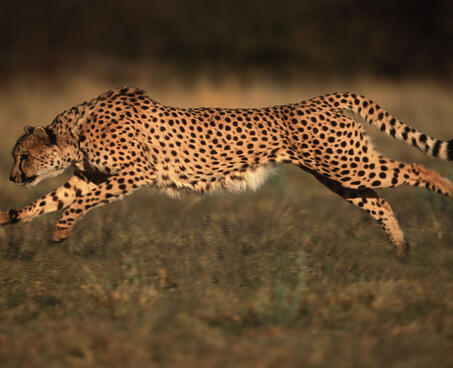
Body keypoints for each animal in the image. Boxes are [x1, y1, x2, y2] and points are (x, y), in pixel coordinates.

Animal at [0, 87, 452, 254]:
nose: (12, 178)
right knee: (379, 203)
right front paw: (10, 216)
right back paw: (400, 247)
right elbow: (52, 198)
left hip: (349, 164)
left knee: (416, 166)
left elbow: (77, 204)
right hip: (339, 174)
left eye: (22, 157)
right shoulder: (89, 175)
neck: (75, 130)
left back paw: (444, 189)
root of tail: (322, 98)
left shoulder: (136, 171)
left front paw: (61, 230)